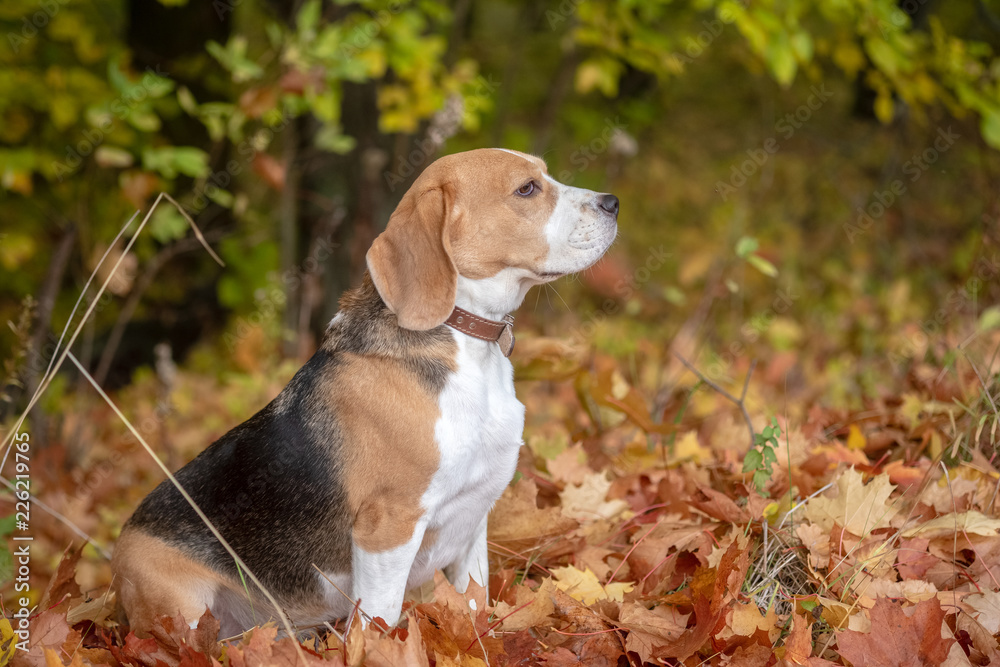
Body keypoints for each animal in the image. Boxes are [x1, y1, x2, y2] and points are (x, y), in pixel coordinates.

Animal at [111, 149, 616, 640]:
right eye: (527, 189)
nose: (612, 203)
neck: (466, 340)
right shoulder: (387, 527)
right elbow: (381, 618)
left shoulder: (474, 519)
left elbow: (474, 606)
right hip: (183, 608)